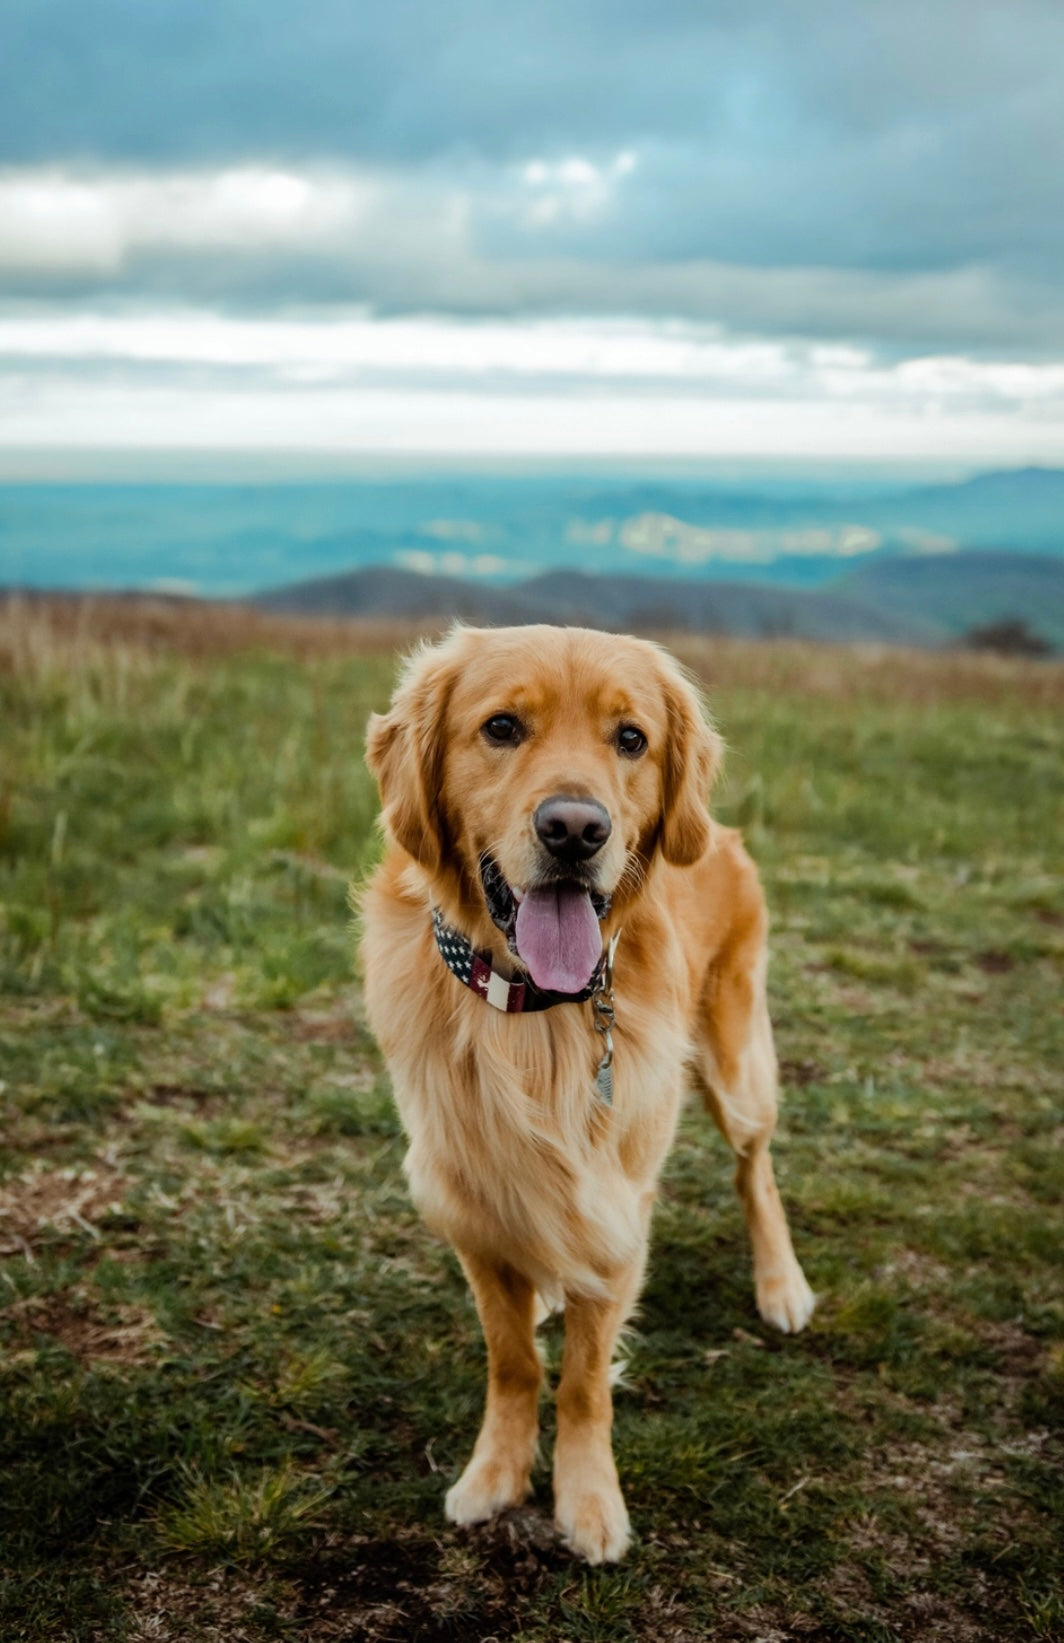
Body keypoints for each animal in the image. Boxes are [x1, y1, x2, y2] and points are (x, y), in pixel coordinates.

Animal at [359, 624, 814, 1564]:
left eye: (631, 738)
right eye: (501, 727)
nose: (575, 829)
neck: (537, 1014)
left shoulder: (616, 1207)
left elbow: (583, 1380)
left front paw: (589, 1500)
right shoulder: (468, 1199)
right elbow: (513, 1360)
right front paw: (495, 1472)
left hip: (736, 1064)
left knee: (755, 1167)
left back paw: (781, 1284)